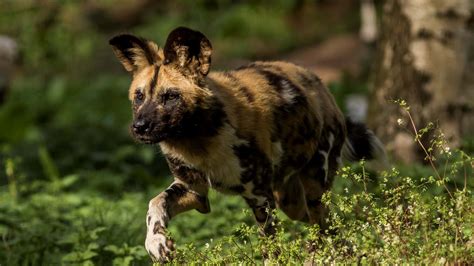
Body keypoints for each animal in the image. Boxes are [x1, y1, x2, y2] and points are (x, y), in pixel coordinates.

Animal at [108, 27, 386, 262]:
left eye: (170, 97)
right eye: (139, 96)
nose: (139, 127)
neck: (198, 139)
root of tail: (321, 86)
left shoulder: (260, 199)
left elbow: (271, 247)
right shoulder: (194, 192)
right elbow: (155, 204)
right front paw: (156, 242)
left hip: (313, 188)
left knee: (325, 225)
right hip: (291, 201)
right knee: (327, 224)